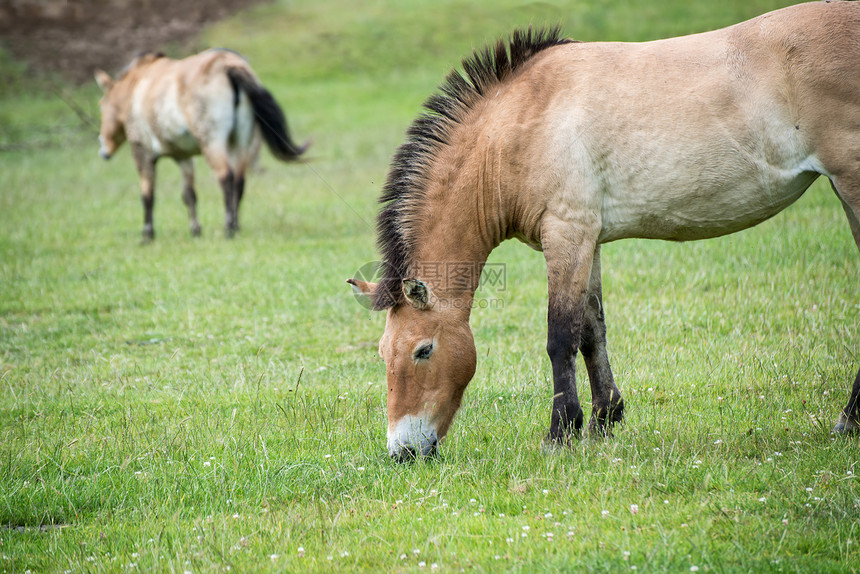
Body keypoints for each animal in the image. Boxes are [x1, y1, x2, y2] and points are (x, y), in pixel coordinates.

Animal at [95, 48, 310, 240]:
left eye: (102, 105)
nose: (103, 150)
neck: (137, 85)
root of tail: (226, 65)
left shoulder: (142, 152)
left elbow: (148, 195)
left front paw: (147, 234)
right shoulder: (183, 157)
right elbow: (189, 194)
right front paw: (195, 230)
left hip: (212, 143)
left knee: (226, 177)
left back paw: (228, 229)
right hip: (240, 141)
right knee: (239, 181)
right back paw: (236, 226)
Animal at [350, 2, 860, 464]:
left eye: (423, 350)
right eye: (383, 354)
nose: (402, 451)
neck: (523, 122)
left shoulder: (567, 233)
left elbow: (560, 336)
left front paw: (560, 433)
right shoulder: (588, 241)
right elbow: (591, 331)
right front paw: (603, 419)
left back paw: (847, 420)